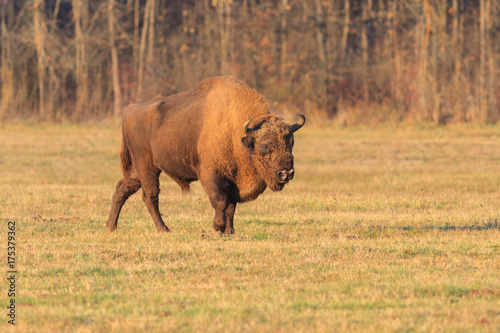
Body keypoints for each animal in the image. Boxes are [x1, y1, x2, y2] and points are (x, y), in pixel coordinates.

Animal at [105, 77, 304, 233]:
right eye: (264, 146)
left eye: (291, 143)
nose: (286, 173)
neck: (237, 132)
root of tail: (128, 110)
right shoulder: (210, 175)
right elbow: (220, 201)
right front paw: (217, 227)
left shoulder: (233, 182)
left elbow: (231, 206)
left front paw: (229, 231)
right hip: (146, 166)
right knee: (150, 195)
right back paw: (164, 229)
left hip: (138, 169)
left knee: (122, 188)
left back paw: (111, 226)